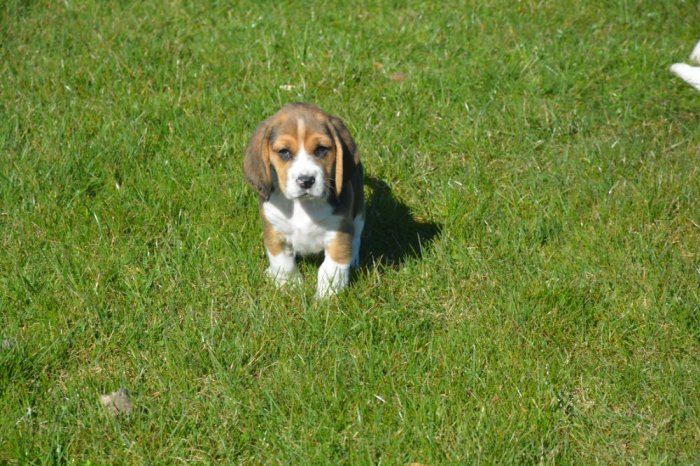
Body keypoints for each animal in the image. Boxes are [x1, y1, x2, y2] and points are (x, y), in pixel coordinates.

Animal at [244, 103, 365, 298]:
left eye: (321, 149)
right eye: (284, 152)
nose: (306, 180)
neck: (304, 206)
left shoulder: (339, 232)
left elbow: (331, 269)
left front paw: (327, 297)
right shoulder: (274, 232)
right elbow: (283, 264)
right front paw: (289, 287)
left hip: (359, 211)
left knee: (357, 235)